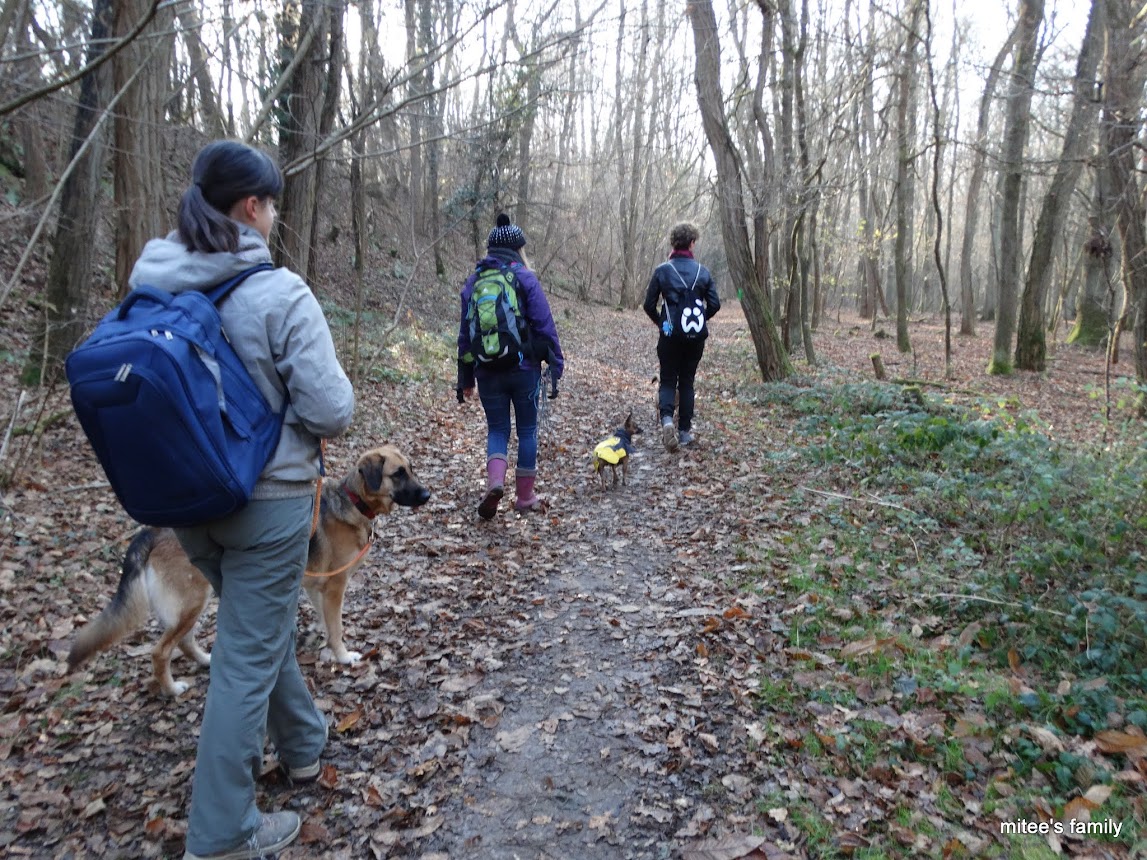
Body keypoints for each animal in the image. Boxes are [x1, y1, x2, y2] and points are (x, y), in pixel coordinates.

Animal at [68, 447, 433, 697]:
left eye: (411, 469)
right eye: (398, 473)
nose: (428, 493)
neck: (353, 500)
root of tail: (152, 532)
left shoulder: (315, 587)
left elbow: (324, 622)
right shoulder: (335, 586)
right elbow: (337, 627)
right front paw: (343, 656)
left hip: (194, 602)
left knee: (183, 641)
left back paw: (206, 661)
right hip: (192, 601)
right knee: (161, 651)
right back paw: (171, 689)